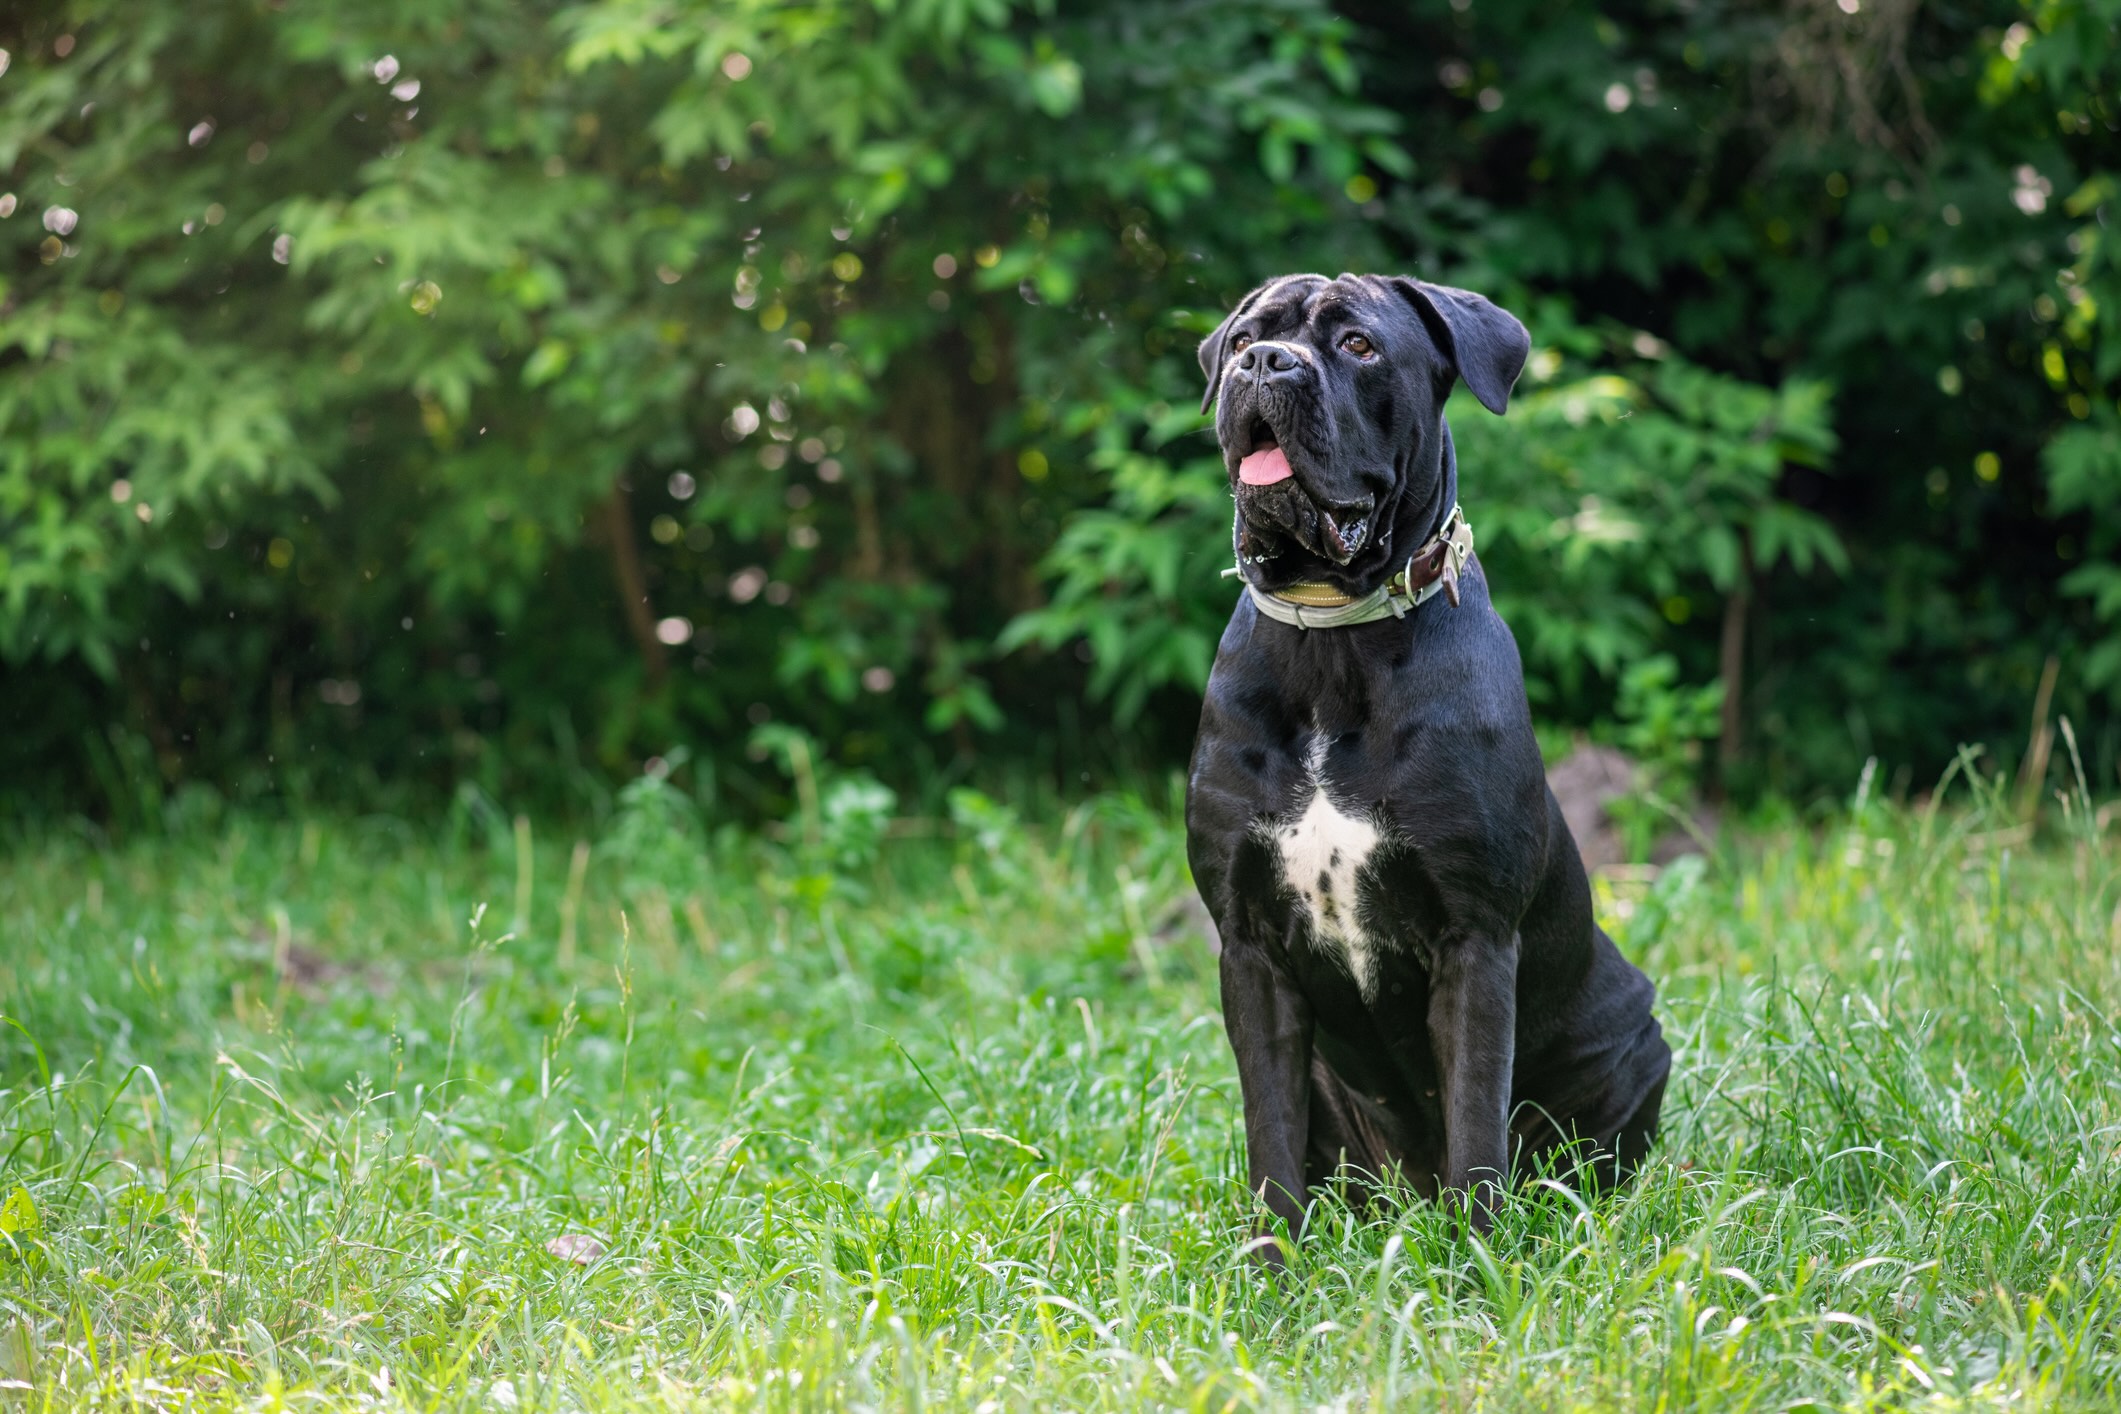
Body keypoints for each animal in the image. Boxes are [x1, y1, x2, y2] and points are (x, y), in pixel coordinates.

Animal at [1187, 273, 1662, 1246]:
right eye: (1246, 338)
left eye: (1359, 345)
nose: (1265, 363)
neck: (1333, 640)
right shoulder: (1249, 950)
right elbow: (1269, 1141)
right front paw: (1272, 1269)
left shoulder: (1473, 941)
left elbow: (1477, 1124)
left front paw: (1480, 1263)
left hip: (1635, 1039)